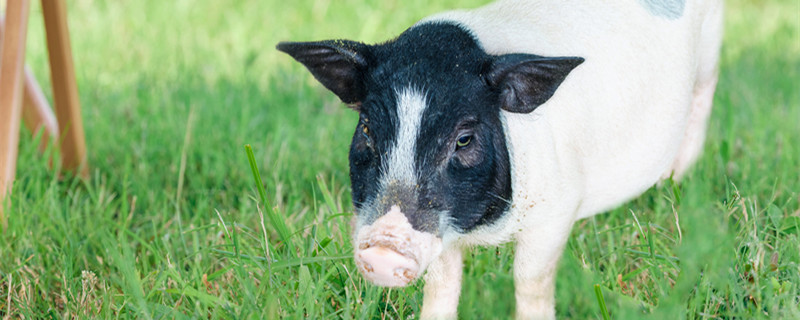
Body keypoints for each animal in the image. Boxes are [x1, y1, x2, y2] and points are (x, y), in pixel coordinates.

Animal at [278, 0, 720, 318]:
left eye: (464, 139)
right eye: (368, 128)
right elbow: (442, 285)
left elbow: (530, 281)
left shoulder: (556, 209)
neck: (483, 230)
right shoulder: (441, 234)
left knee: (701, 104)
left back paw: (675, 182)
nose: (384, 247)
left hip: (711, 54)